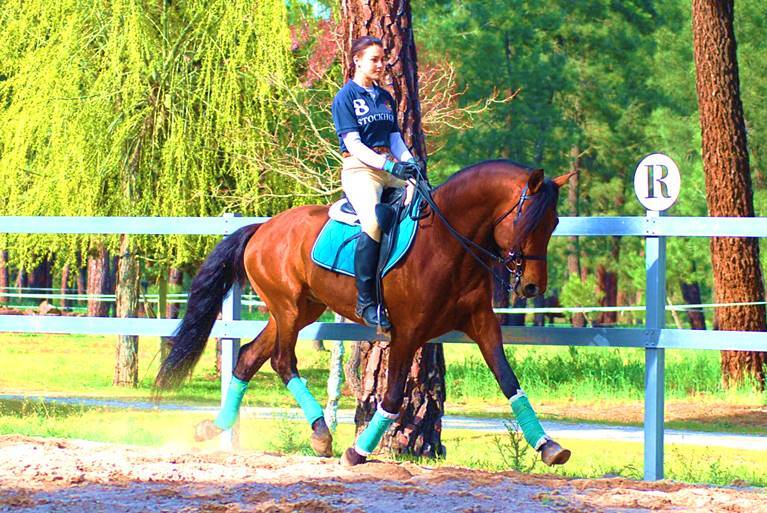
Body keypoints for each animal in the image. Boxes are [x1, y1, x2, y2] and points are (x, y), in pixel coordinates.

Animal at [155, 159, 575, 466]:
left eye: (553, 222)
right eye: (527, 221)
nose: (532, 287)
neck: (446, 244)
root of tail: (263, 227)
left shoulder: (482, 324)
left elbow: (509, 381)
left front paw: (548, 446)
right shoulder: (407, 332)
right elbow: (392, 396)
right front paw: (358, 451)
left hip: (299, 310)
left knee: (247, 358)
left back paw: (213, 428)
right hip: (288, 309)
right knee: (282, 361)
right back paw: (321, 435)